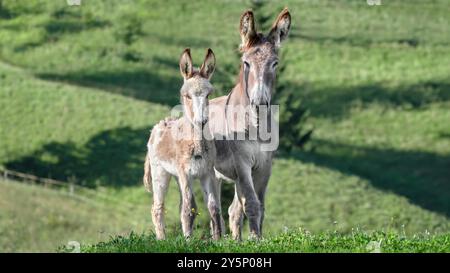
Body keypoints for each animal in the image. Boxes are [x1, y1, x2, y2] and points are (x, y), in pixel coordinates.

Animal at [143, 48, 222, 238]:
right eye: (187, 96)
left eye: (209, 94)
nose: (202, 121)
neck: (198, 145)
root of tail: (159, 125)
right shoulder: (186, 173)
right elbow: (189, 209)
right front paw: (188, 240)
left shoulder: (207, 173)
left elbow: (213, 208)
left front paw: (219, 239)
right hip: (160, 173)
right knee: (157, 208)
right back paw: (162, 239)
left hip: (177, 177)